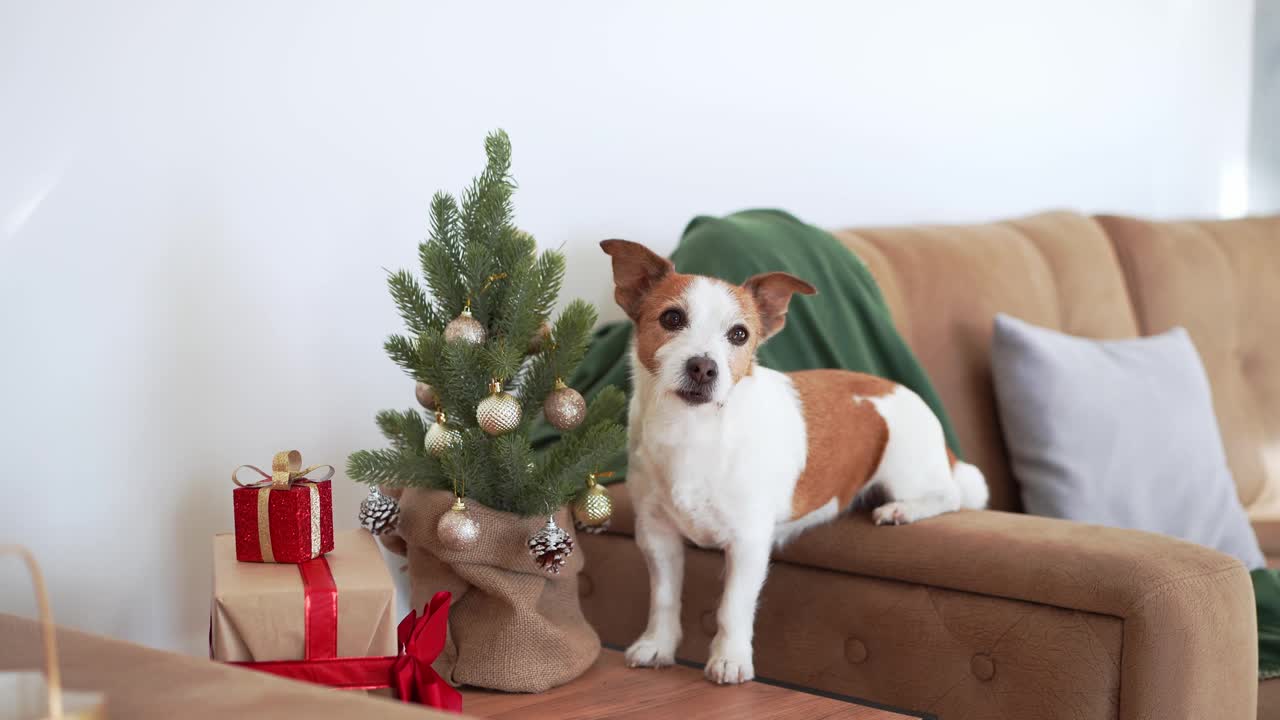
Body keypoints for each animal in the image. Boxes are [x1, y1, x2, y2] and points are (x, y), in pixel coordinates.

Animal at [599, 237, 988, 681]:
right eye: (672, 318)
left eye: (739, 334)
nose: (703, 367)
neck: (693, 431)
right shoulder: (657, 535)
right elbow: (663, 597)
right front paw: (657, 645)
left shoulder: (748, 542)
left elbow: (732, 607)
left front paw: (730, 659)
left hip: (907, 467)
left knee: (951, 496)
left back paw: (901, 510)